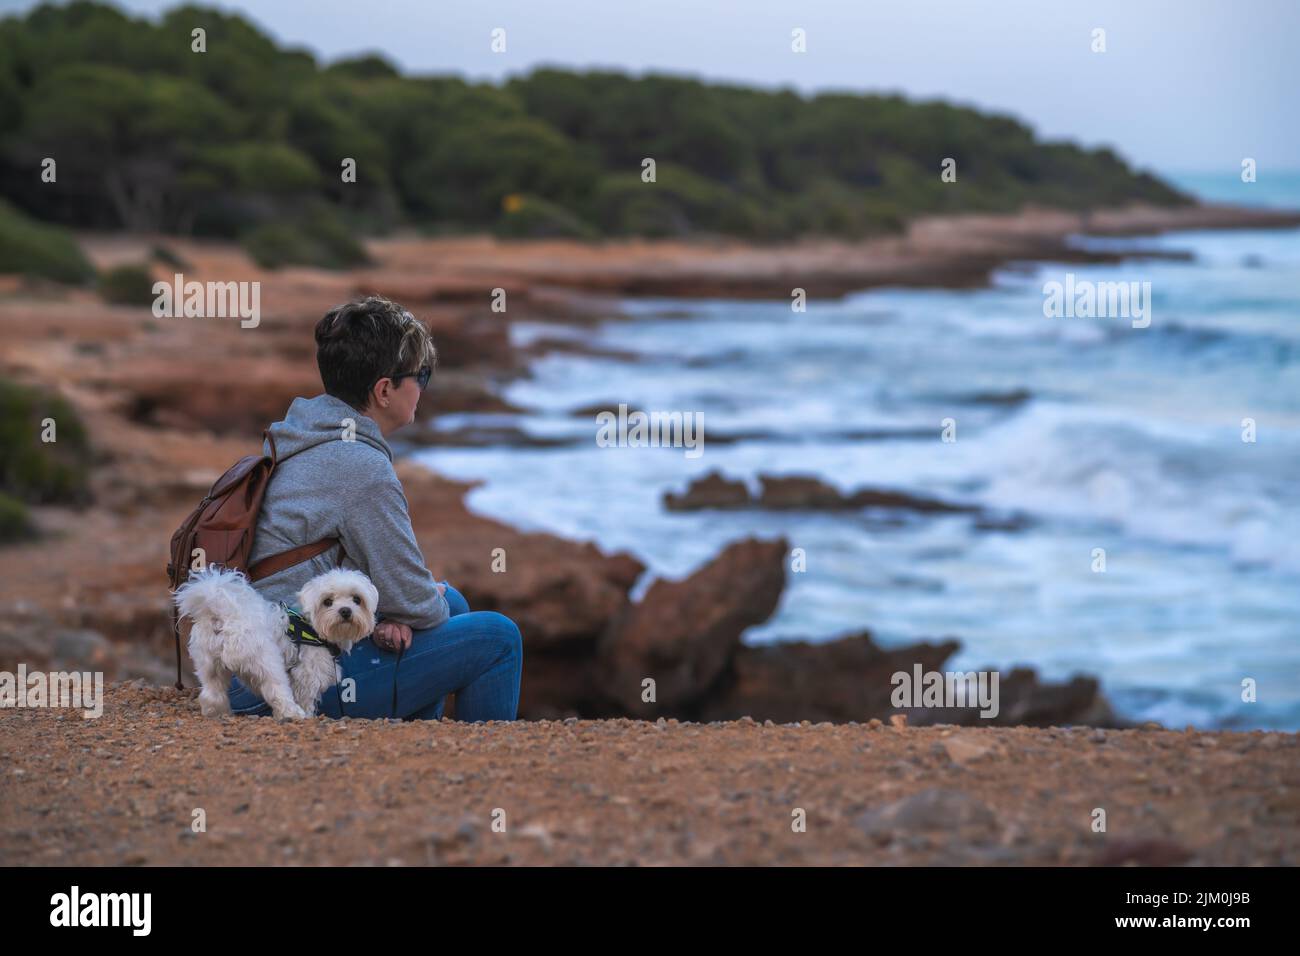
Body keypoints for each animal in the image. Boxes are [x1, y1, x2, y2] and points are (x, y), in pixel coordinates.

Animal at [172, 567, 379, 717]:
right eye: (327, 601)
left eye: (357, 599)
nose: (345, 611)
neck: (312, 626)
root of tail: (222, 615)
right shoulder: (308, 674)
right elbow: (305, 697)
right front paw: (309, 715)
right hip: (268, 662)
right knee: (277, 692)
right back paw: (293, 714)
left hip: (209, 666)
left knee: (211, 693)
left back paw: (217, 713)